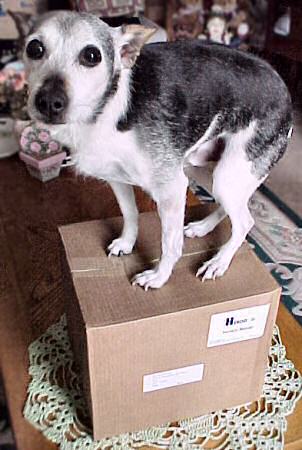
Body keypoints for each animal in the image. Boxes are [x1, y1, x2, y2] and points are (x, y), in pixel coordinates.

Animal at [23, 13, 292, 292]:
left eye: (92, 55)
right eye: (34, 48)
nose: (48, 102)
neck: (107, 109)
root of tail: (282, 84)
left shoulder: (171, 191)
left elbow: (169, 245)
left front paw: (159, 276)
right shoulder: (117, 180)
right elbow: (130, 214)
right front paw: (126, 243)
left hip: (227, 175)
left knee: (245, 222)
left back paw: (219, 262)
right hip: (204, 169)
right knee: (231, 208)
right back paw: (202, 227)